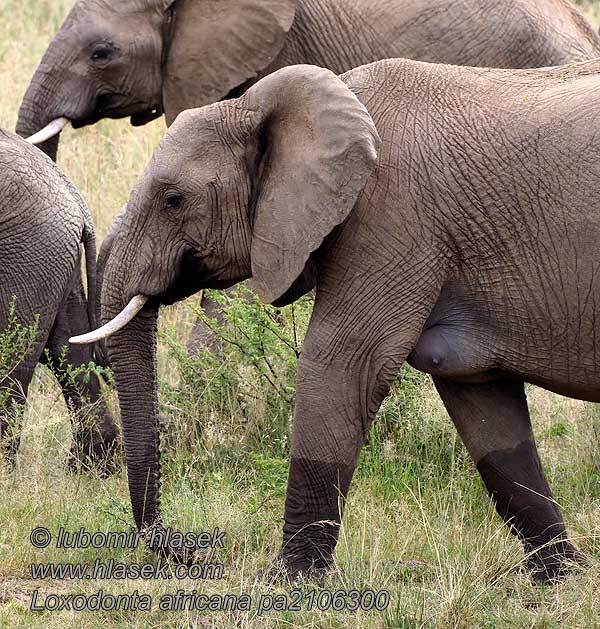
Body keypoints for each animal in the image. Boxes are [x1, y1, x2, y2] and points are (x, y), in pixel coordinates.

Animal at [71, 61, 600, 580]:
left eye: (173, 200)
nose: (192, 551)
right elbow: (486, 410)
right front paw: (559, 576)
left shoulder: (390, 217)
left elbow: (340, 367)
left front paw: (288, 581)